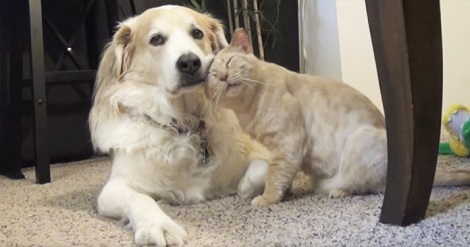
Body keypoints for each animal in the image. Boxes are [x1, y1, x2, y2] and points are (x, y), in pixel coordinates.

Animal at [89, 4, 270, 247]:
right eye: (156, 39)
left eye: (197, 33)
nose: (190, 63)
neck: (184, 124)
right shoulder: (113, 189)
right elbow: (139, 197)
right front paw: (159, 225)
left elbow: (262, 168)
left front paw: (245, 187)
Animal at [207, 28, 470, 206]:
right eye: (213, 75)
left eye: (229, 62)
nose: (223, 77)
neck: (247, 109)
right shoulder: (280, 150)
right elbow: (282, 175)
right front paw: (285, 192)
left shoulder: (288, 144)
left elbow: (275, 176)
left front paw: (267, 198)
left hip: (359, 141)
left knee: (369, 186)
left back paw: (339, 191)